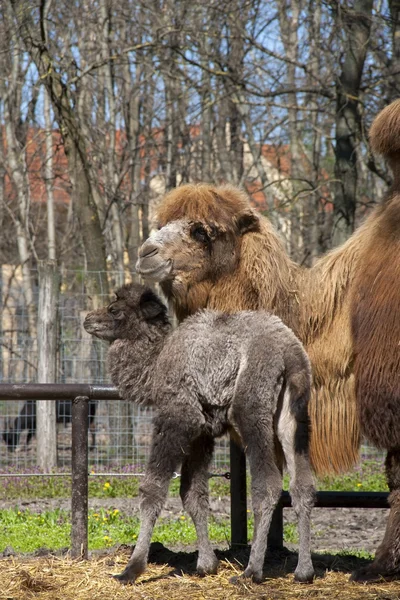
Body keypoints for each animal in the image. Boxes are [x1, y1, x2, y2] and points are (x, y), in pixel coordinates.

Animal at [83, 284, 316, 584]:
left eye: (115, 310)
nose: (88, 319)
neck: (157, 363)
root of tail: (290, 352)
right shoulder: (201, 432)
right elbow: (192, 493)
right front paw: (206, 564)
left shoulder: (178, 416)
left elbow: (153, 488)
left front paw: (131, 569)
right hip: (293, 417)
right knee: (302, 485)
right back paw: (303, 571)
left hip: (252, 407)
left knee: (268, 484)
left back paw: (251, 571)